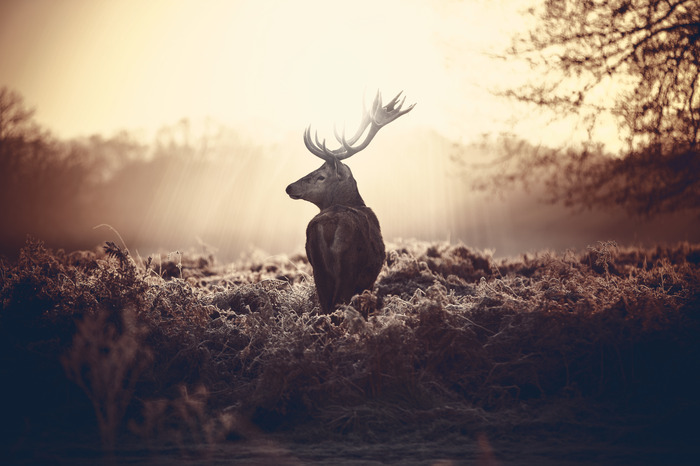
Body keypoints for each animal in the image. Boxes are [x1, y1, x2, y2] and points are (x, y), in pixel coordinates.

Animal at [286, 91, 415, 315]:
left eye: (320, 176)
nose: (289, 187)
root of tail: (327, 227)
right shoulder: (368, 279)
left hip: (318, 270)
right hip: (348, 270)